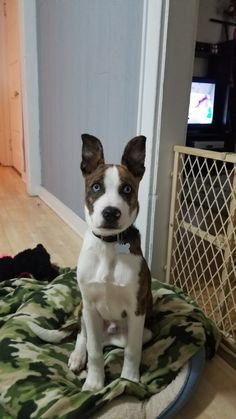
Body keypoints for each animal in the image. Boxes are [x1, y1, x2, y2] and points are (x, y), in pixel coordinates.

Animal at [68, 135, 153, 394]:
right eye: (96, 187)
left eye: (127, 189)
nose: (110, 213)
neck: (108, 246)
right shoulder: (90, 306)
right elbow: (94, 350)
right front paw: (94, 383)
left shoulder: (137, 309)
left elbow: (132, 350)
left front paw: (129, 381)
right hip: (83, 309)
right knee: (84, 336)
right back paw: (77, 357)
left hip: (144, 329)